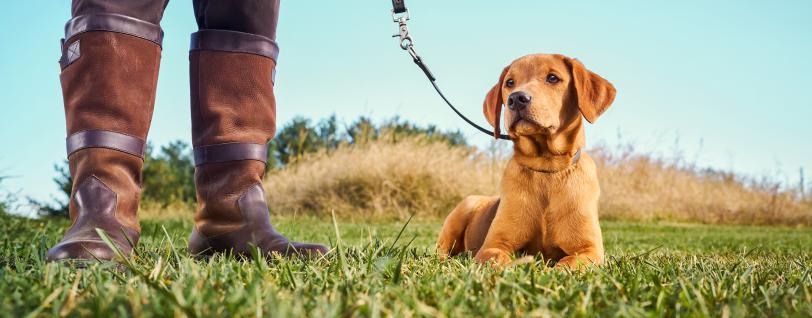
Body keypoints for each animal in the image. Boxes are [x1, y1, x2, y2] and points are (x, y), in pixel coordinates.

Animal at [438, 53, 616, 270]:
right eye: (509, 82)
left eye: (553, 78)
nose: (516, 98)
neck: (547, 168)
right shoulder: (493, 245)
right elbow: (501, 259)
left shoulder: (590, 250)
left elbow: (568, 263)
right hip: (463, 208)